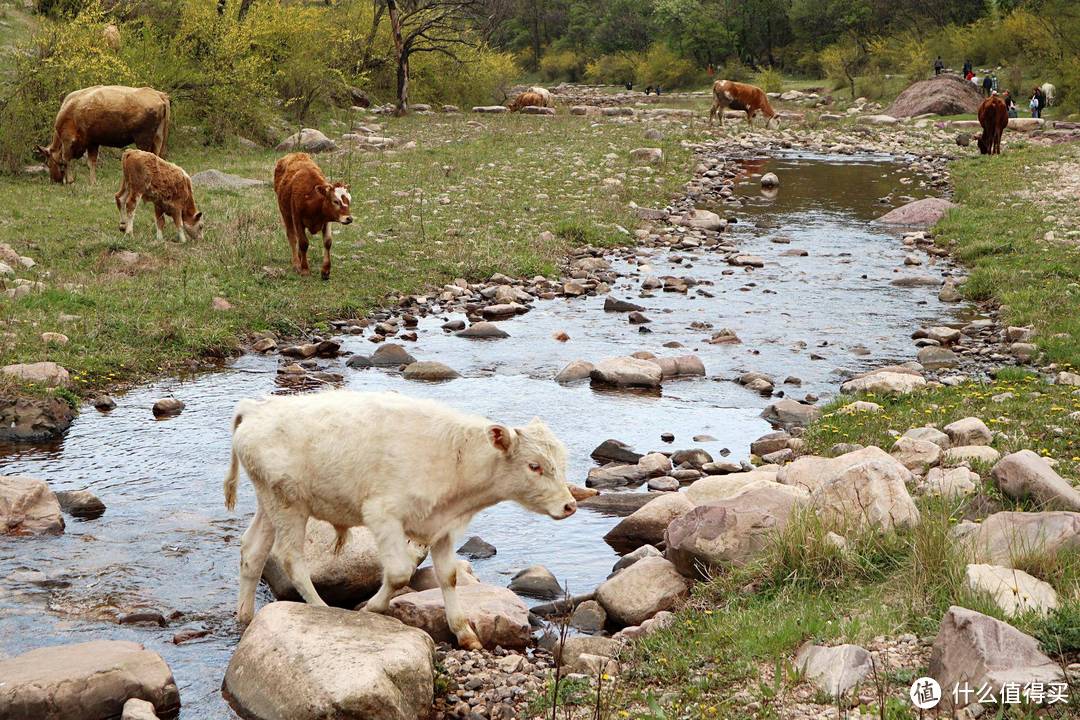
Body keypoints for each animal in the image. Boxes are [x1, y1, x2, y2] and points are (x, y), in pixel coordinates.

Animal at [218, 390, 574, 651]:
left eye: (561, 461)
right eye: (534, 466)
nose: (569, 505)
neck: (456, 458)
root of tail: (256, 408)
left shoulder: (442, 529)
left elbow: (448, 577)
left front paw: (465, 633)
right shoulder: (382, 514)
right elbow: (401, 572)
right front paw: (371, 609)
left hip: (270, 503)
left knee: (252, 552)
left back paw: (244, 616)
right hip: (289, 504)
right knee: (291, 559)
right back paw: (321, 607)